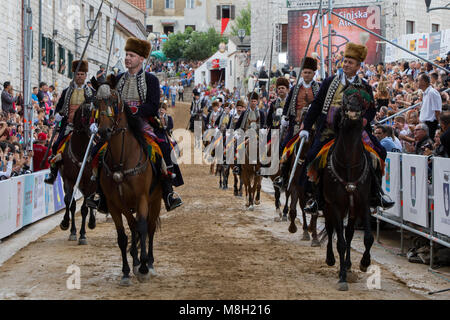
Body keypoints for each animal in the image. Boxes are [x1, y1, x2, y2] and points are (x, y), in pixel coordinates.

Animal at [58, 102, 96, 245]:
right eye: (85, 115)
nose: (94, 131)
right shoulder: (69, 180)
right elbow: (70, 203)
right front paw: (68, 227)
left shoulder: (89, 181)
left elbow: (84, 208)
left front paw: (82, 235)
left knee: (91, 200)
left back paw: (92, 222)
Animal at [94, 81, 162, 286]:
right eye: (95, 103)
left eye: (114, 101)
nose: (104, 131)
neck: (122, 160)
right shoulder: (114, 203)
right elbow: (123, 236)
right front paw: (126, 270)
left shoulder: (142, 198)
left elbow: (142, 228)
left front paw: (144, 267)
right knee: (133, 226)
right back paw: (135, 260)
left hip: (156, 200)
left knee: (150, 228)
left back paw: (149, 263)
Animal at [322, 87, 374, 290]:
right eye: (345, 102)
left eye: (361, 99)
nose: (353, 107)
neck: (350, 166)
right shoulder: (336, 205)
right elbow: (341, 243)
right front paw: (342, 277)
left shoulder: (364, 203)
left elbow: (367, 237)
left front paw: (364, 263)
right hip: (328, 207)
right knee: (331, 230)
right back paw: (331, 260)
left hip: (352, 210)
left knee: (350, 233)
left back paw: (350, 264)